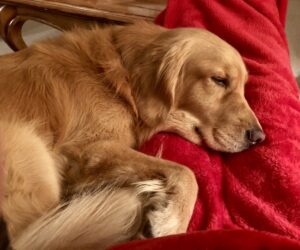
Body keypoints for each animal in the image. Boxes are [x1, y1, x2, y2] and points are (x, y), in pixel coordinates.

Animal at [0, 22, 264, 249]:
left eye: (243, 86)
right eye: (219, 80)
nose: (258, 137)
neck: (120, 75)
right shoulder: (90, 149)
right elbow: (186, 172)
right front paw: (171, 223)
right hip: (29, 149)